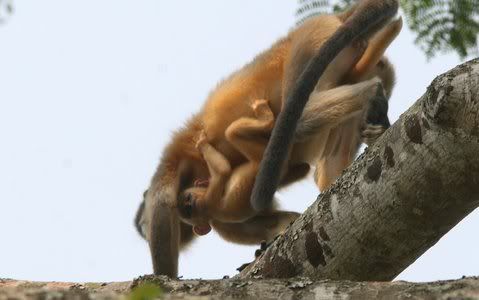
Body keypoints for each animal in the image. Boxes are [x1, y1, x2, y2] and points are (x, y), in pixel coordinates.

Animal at [137, 0, 404, 276]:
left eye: (143, 224)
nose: (143, 229)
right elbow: (293, 174)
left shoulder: (169, 178)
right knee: (326, 165)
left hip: (311, 43)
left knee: (301, 117)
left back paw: (370, 93)